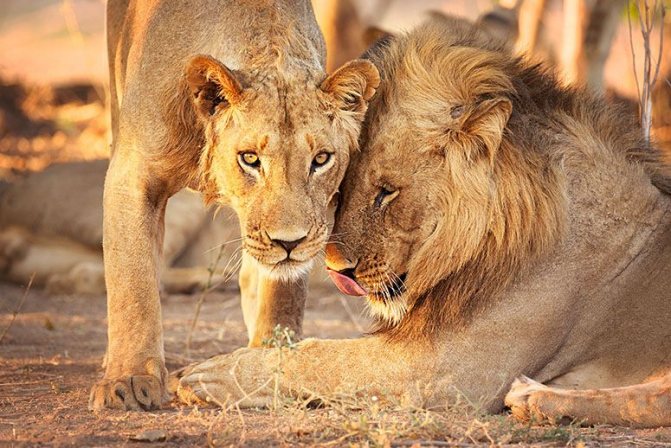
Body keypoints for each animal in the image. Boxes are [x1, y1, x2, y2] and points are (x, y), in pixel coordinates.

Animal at [93, 0, 379, 411]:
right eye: (250, 158)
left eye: (322, 159)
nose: (288, 242)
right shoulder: (131, 175)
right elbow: (133, 284)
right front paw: (129, 380)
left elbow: (282, 293)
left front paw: (265, 362)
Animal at [175, 17, 671, 428]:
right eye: (342, 184)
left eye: (386, 191)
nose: (335, 270)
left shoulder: (452, 366)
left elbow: (324, 358)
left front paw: (208, 373)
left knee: (650, 401)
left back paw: (535, 399)